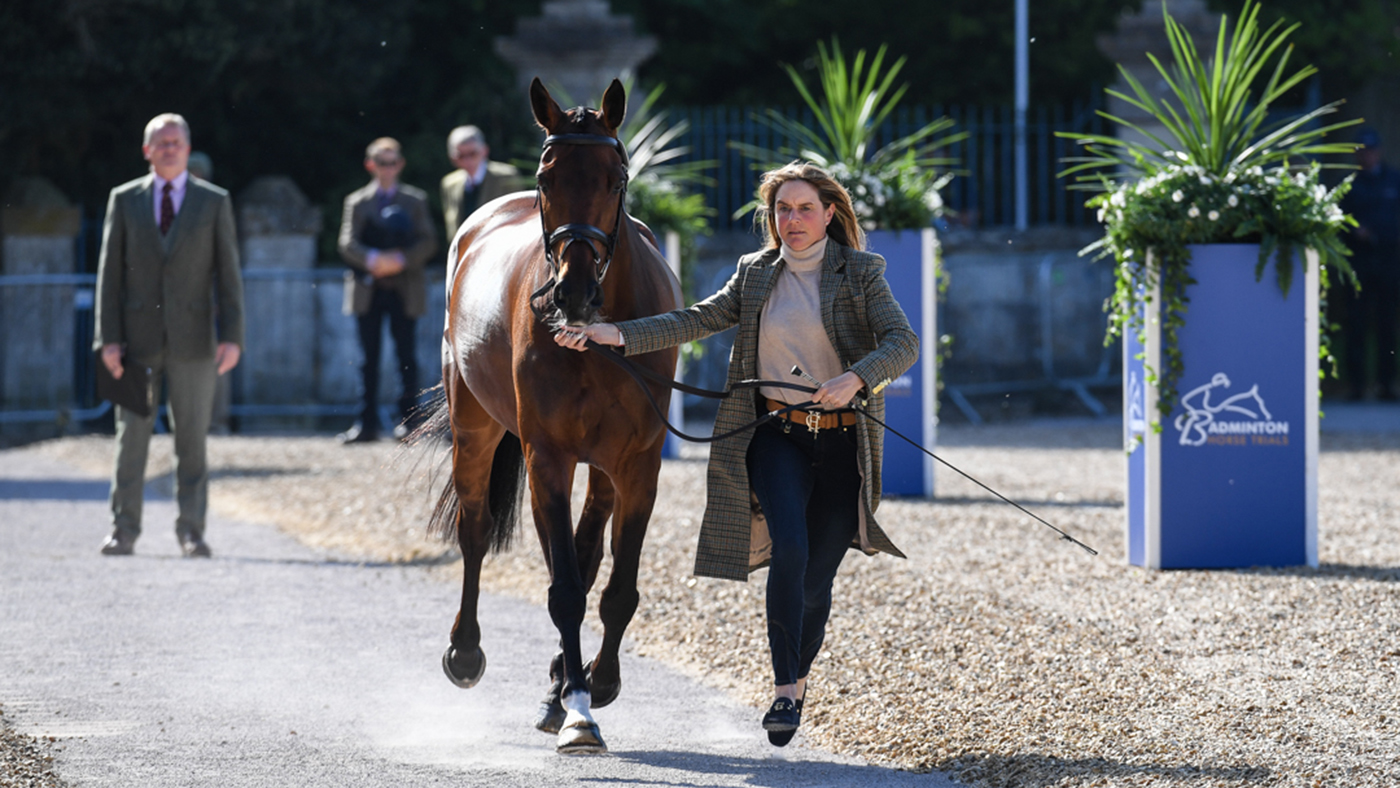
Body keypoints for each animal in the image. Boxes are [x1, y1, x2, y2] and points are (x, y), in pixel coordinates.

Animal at [428, 77, 680, 754]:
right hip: (476, 429)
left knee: (586, 554)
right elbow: (564, 589)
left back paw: (559, 680)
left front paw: (597, 681)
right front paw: (579, 713)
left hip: (599, 470)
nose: (572, 290)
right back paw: (468, 653)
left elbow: (615, 588)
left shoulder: (638, 465)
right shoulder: (548, 457)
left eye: (617, 179)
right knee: (475, 529)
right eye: (547, 176)